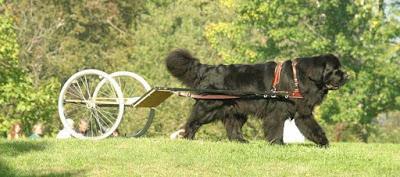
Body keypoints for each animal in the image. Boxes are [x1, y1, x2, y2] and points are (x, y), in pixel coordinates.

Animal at [165, 49, 346, 146]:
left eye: (339, 69)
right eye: (335, 70)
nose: (347, 75)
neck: (300, 77)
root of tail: (208, 69)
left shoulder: (303, 112)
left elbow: (313, 128)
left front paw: (324, 143)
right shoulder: (277, 112)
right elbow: (276, 128)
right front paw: (278, 144)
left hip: (236, 109)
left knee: (232, 126)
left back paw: (240, 141)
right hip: (209, 106)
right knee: (193, 121)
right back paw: (187, 137)